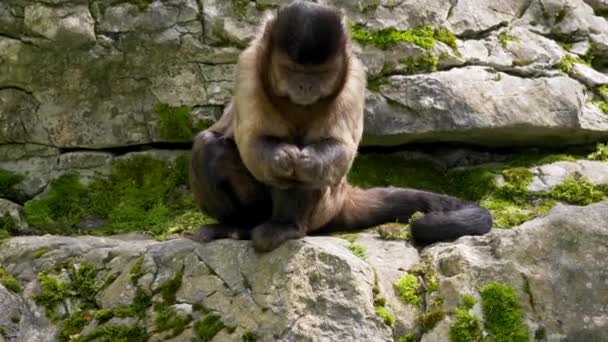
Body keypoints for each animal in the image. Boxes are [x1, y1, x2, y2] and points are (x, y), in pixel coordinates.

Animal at [188, 0, 492, 251]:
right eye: (291, 71)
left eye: (319, 73)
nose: (305, 85)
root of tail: (343, 197)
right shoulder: (248, 65)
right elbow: (252, 140)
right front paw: (280, 157)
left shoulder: (355, 73)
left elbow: (339, 148)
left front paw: (308, 161)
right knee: (207, 145)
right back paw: (237, 227)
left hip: (324, 207)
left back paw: (286, 227)